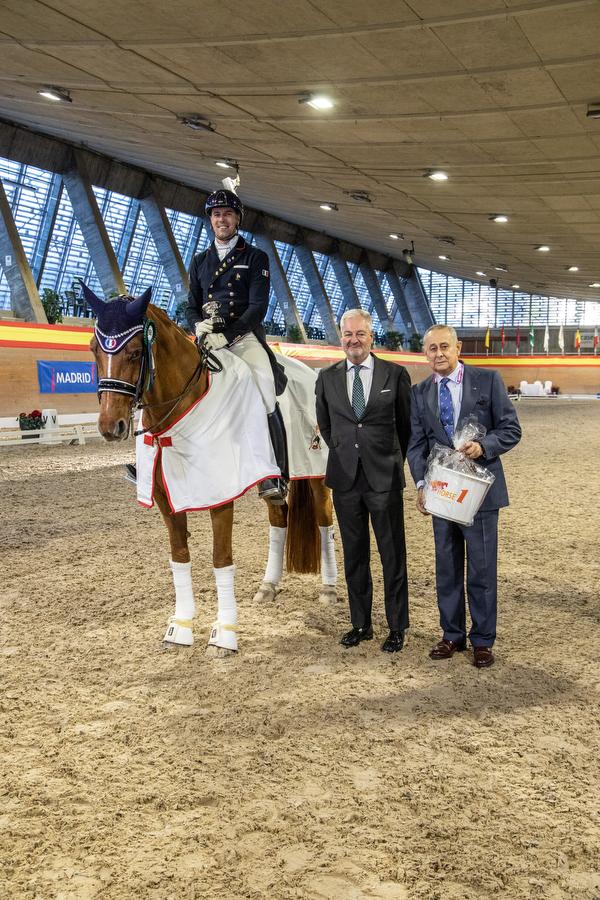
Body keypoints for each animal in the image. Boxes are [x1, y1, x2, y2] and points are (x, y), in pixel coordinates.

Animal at [86, 292, 336, 656]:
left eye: (134, 352)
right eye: (94, 349)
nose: (110, 426)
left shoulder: (221, 496)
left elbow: (221, 559)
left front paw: (224, 635)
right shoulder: (166, 501)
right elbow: (179, 557)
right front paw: (179, 628)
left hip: (315, 470)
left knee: (323, 521)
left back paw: (329, 589)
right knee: (279, 519)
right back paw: (268, 586)